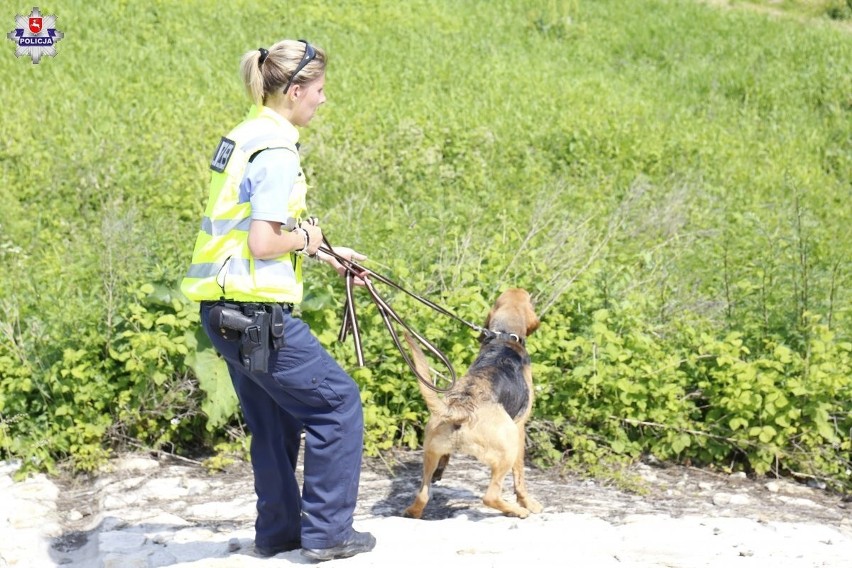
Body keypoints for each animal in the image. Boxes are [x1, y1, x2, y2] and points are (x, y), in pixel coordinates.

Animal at [402, 288, 544, 520]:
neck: (504, 335)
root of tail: (462, 409)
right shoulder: (520, 427)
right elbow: (520, 477)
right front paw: (528, 503)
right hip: (508, 448)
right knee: (490, 496)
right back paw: (518, 511)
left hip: (430, 452)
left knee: (423, 494)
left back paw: (413, 511)